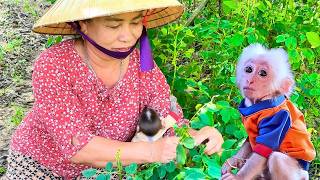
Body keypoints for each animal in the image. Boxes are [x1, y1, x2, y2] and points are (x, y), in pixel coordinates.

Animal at [221, 44, 316, 180]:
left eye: (262, 73)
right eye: (249, 70)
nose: (250, 80)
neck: (259, 103)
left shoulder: (279, 118)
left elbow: (263, 150)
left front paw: (237, 177)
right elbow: (250, 142)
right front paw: (233, 161)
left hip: (298, 174)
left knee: (276, 158)